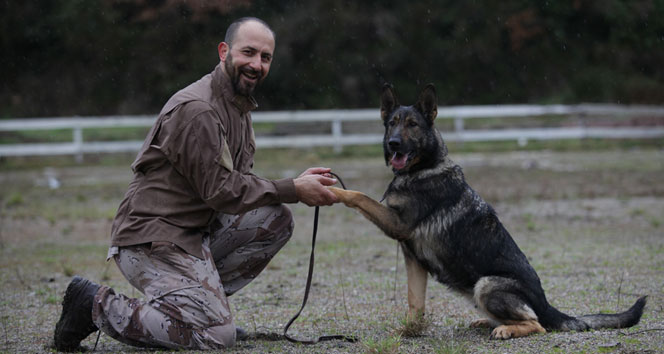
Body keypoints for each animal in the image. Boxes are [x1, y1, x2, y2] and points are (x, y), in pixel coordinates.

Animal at [330, 83, 644, 340]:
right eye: (392, 123)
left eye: (412, 124)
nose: (393, 143)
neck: (424, 168)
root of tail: (547, 306)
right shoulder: (413, 259)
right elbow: (414, 302)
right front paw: (410, 332)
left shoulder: (397, 224)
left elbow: (359, 195)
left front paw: (335, 191)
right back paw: (489, 322)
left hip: (485, 285)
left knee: (536, 324)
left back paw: (505, 329)